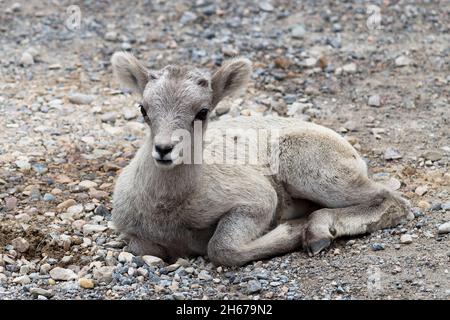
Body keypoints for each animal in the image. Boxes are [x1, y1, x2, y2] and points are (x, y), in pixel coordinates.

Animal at [110, 52, 414, 266]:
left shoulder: (258, 201)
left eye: (203, 112)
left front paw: (293, 230)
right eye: (143, 109)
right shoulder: (137, 238)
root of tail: (351, 151)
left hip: (310, 168)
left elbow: (222, 248)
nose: (164, 149)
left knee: (390, 199)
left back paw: (315, 232)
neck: (169, 210)